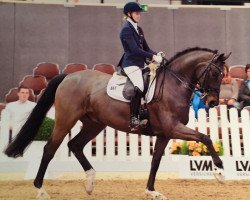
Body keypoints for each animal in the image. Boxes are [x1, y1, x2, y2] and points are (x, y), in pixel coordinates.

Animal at [3, 47, 230, 200]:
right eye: (215, 73)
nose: (212, 102)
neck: (173, 84)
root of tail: (68, 76)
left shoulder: (164, 134)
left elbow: (155, 162)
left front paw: (151, 191)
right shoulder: (173, 128)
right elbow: (205, 137)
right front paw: (219, 172)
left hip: (94, 124)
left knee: (74, 145)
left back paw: (90, 182)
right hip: (65, 120)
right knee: (50, 149)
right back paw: (41, 190)